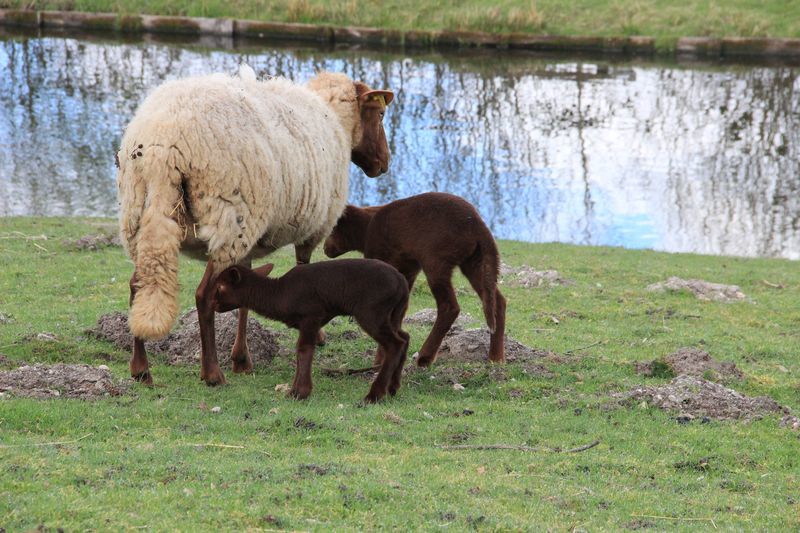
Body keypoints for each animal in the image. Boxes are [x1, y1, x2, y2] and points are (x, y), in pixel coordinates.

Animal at [117, 65, 394, 386]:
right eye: (380, 115)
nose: (384, 163)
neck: (335, 119)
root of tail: (163, 145)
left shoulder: (249, 239)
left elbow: (244, 292)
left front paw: (242, 359)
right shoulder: (312, 229)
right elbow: (303, 267)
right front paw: (317, 335)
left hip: (141, 213)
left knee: (137, 284)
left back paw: (140, 368)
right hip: (227, 218)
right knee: (203, 295)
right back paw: (212, 373)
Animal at [210, 260, 410, 403]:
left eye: (220, 287)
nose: (212, 305)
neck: (278, 294)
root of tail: (402, 281)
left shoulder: (311, 316)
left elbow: (304, 350)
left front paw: (300, 392)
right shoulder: (305, 323)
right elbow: (299, 352)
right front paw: (294, 391)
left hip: (372, 312)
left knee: (395, 343)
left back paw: (374, 395)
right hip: (394, 313)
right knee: (405, 337)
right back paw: (393, 387)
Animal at [324, 192, 506, 366]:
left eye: (332, 229)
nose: (325, 248)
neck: (366, 228)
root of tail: (477, 225)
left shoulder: (381, 258)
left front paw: (379, 360)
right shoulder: (407, 271)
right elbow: (398, 313)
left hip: (436, 260)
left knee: (449, 306)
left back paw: (425, 357)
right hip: (475, 260)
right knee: (497, 300)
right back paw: (496, 357)